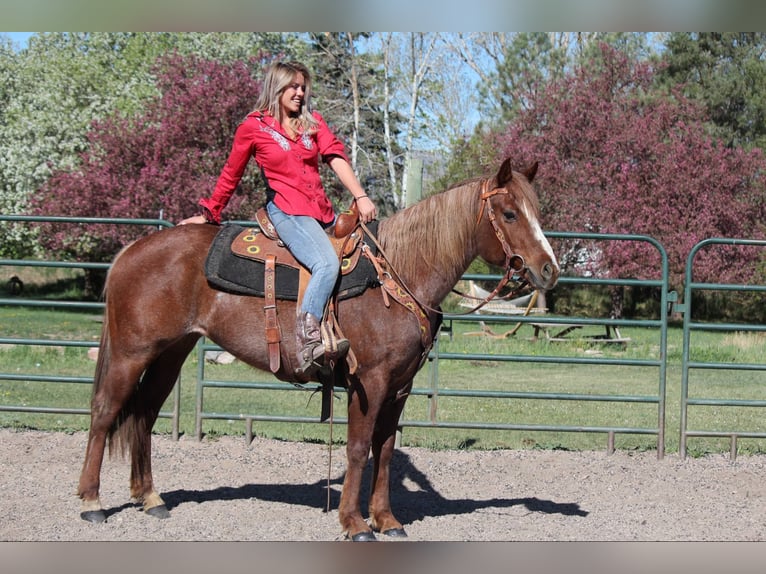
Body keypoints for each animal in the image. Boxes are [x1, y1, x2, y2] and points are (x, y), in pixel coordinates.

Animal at [76, 157, 560, 541]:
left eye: (537, 210)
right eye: (509, 213)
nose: (549, 270)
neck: (398, 274)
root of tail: (131, 251)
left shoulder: (399, 387)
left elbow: (385, 450)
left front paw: (386, 520)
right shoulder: (369, 382)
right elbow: (358, 448)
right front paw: (355, 523)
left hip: (171, 352)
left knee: (144, 413)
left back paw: (150, 497)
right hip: (130, 353)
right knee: (104, 412)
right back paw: (92, 501)